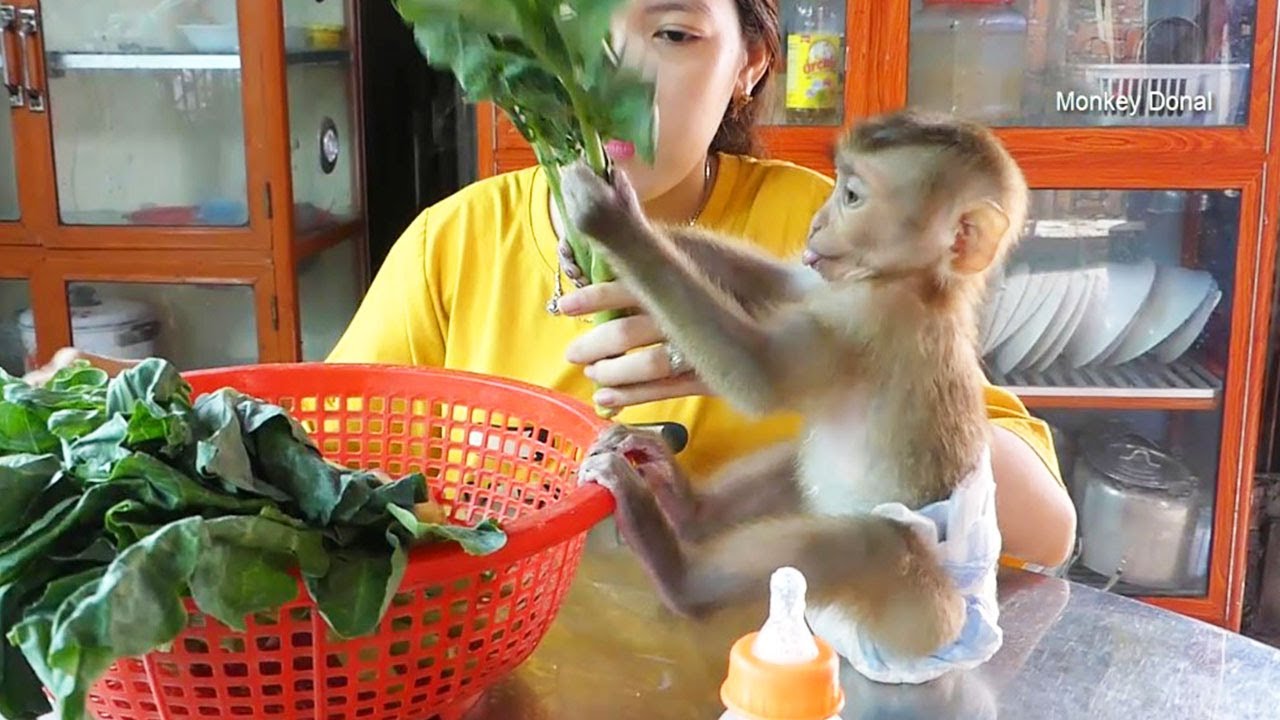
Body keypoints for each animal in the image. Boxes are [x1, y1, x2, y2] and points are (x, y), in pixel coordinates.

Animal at [557, 110, 1027, 683]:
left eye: (851, 196)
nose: (818, 222)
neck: (912, 282)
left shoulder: (873, 321)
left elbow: (761, 378)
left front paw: (611, 220)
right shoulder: (829, 283)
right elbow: (783, 280)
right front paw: (608, 229)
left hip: (926, 624)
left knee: (874, 546)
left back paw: (680, 576)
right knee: (796, 467)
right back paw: (685, 505)